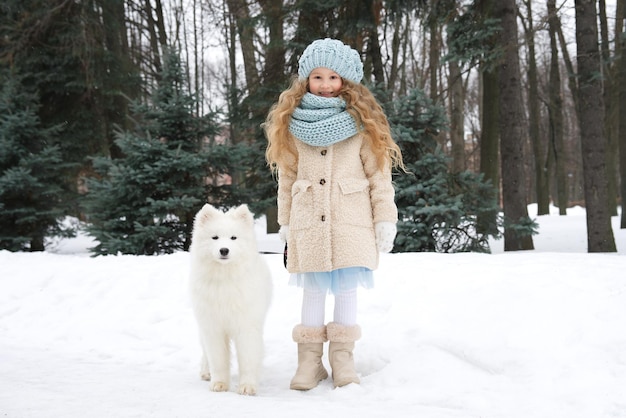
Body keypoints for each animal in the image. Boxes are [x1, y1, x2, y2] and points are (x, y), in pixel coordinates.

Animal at [188, 204, 270, 396]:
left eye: (233, 237)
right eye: (215, 237)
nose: (224, 250)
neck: (224, 279)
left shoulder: (246, 327)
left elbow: (248, 359)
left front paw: (247, 386)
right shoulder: (213, 327)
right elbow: (217, 359)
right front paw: (219, 384)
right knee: (205, 352)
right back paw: (206, 372)